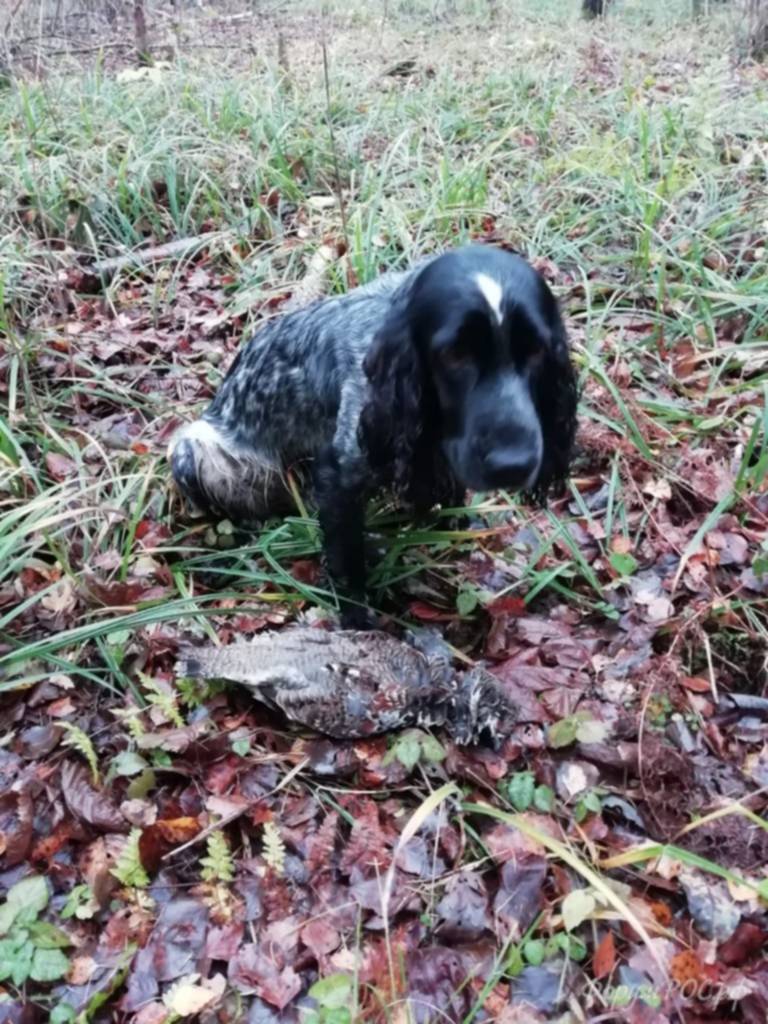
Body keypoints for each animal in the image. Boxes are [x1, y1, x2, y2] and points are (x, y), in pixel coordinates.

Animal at [167, 245, 577, 622]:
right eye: (454, 354)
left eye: (537, 350)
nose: (513, 464)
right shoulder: (340, 473)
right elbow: (347, 560)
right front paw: (357, 620)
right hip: (192, 448)